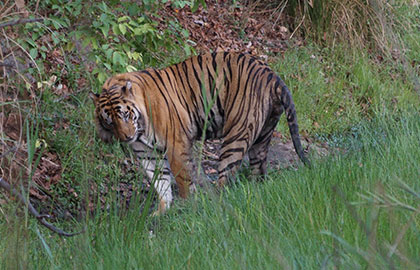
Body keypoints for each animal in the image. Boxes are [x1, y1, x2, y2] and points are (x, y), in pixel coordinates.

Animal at [91, 51, 308, 215]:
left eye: (125, 115)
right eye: (109, 121)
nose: (126, 137)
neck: (141, 128)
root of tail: (270, 73)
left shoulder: (175, 145)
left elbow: (183, 178)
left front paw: (187, 205)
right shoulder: (147, 153)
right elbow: (160, 182)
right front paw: (161, 211)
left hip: (237, 134)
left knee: (226, 177)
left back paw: (215, 204)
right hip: (262, 135)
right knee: (258, 170)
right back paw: (254, 191)